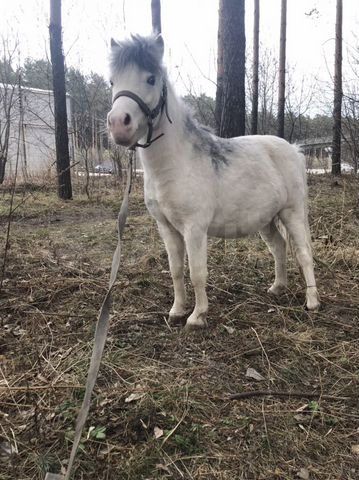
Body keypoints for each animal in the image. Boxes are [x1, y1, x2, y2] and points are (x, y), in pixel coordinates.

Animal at [107, 34, 320, 330]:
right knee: (279, 247)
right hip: (267, 219)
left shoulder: (194, 228)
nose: (118, 124)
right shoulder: (167, 228)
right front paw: (177, 310)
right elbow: (176, 270)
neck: (177, 163)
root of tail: (295, 150)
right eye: (112, 81)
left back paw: (312, 302)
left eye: (151, 78)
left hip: (293, 213)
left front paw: (197, 316)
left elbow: (197, 272)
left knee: (303, 253)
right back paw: (277, 287)